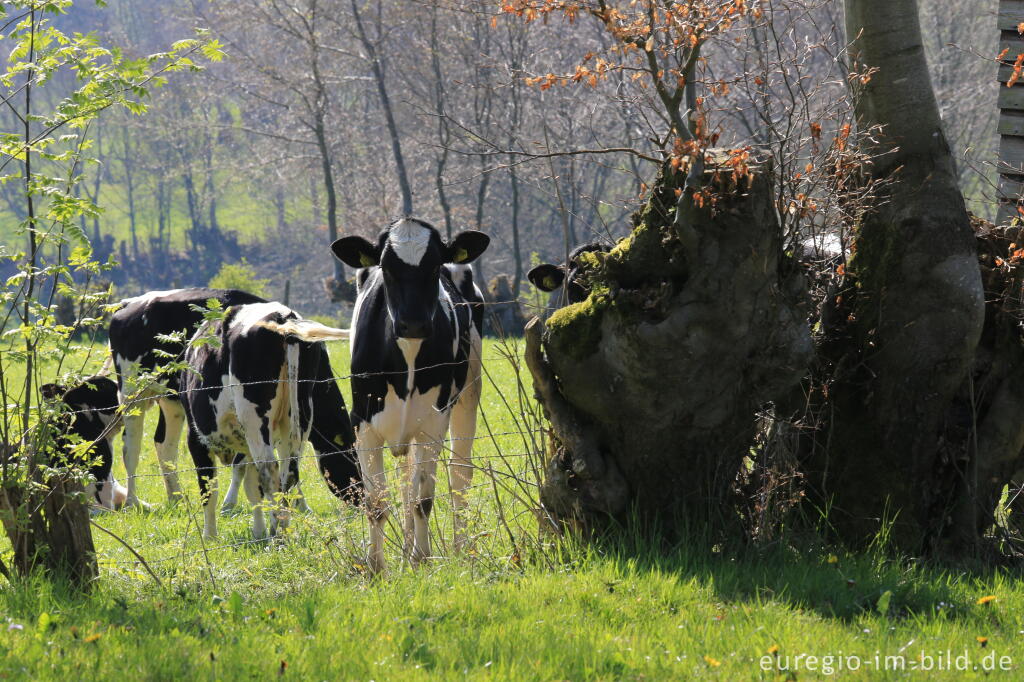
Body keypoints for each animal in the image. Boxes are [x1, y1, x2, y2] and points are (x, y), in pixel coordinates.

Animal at [109, 284, 268, 503]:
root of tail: (129, 303)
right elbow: (243, 461)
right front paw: (229, 503)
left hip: (170, 398)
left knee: (164, 444)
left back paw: (176, 498)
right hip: (132, 394)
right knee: (131, 448)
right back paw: (132, 501)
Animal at [180, 301, 360, 540]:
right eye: (354, 458)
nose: (363, 497)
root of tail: (283, 317)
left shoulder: (196, 436)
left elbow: (209, 489)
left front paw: (210, 536)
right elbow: (250, 487)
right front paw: (258, 530)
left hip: (254, 418)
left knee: (269, 468)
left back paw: (276, 534)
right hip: (297, 415)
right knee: (288, 470)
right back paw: (282, 530)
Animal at [327, 216, 487, 569]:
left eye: (435, 265)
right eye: (386, 267)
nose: (413, 324)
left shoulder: (433, 423)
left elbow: (423, 499)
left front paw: (420, 560)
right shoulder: (363, 424)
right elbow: (376, 502)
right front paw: (376, 568)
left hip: (468, 394)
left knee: (459, 473)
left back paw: (461, 550)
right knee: (404, 480)